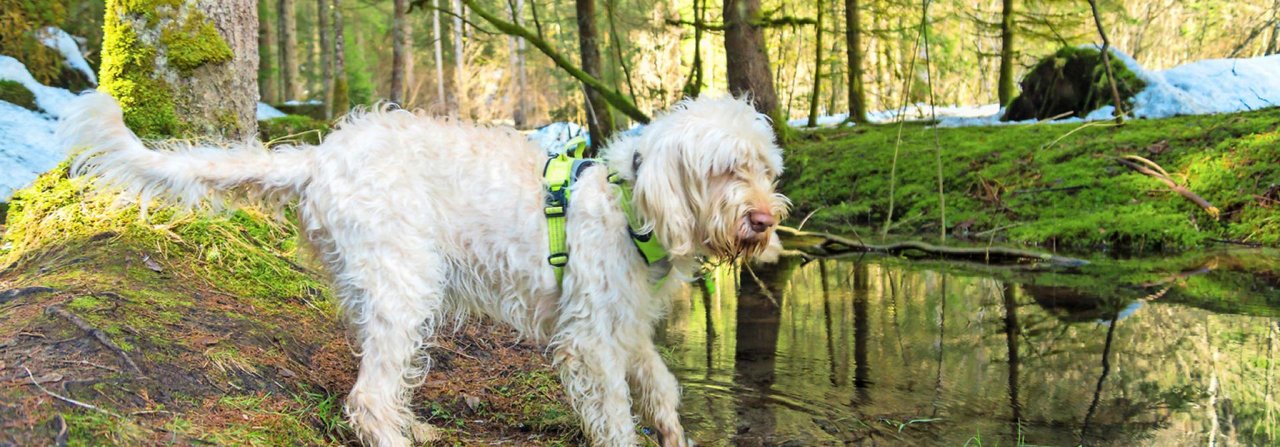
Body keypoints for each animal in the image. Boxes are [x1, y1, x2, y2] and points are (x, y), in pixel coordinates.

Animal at [60, 92, 788, 443]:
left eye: (764, 168)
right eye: (725, 168)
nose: (764, 220)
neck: (628, 201)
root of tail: (318, 158)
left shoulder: (624, 325)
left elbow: (660, 385)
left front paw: (672, 429)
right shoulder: (588, 339)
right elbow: (611, 413)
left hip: (376, 289)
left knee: (382, 380)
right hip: (406, 285)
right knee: (367, 400)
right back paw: (395, 433)